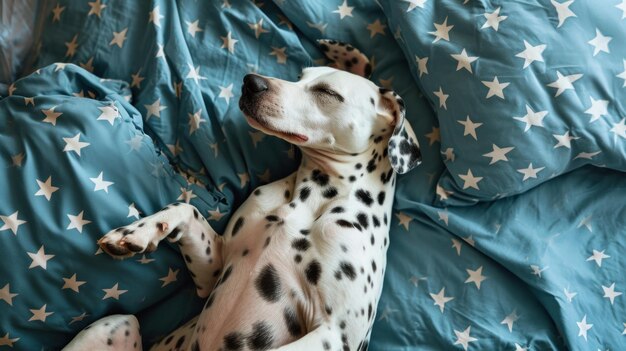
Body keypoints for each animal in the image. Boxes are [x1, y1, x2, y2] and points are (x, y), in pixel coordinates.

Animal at [63, 40, 420, 351]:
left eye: (327, 92)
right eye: (300, 77)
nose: (251, 82)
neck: (313, 197)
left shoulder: (337, 334)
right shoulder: (215, 270)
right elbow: (186, 209)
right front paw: (137, 232)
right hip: (117, 322)